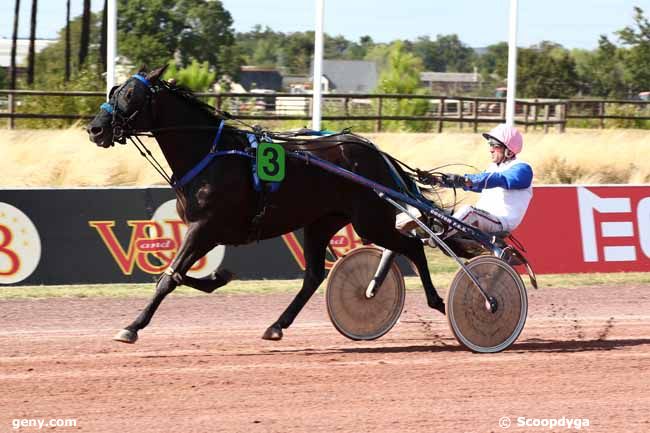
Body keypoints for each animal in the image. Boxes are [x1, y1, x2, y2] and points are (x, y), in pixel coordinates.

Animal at [87, 66, 446, 344]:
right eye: (114, 91)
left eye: (130, 95)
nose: (95, 128)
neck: (209, 154)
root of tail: (376, 153)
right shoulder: (210, 231)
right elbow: (180, 275)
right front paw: (219, 277)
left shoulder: (204, 228)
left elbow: (169, 277)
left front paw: (132, 327)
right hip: (321, 223)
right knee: (314, 275)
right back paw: (277, 325)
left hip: (370, 220)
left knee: (412, 247)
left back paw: (439, 301)